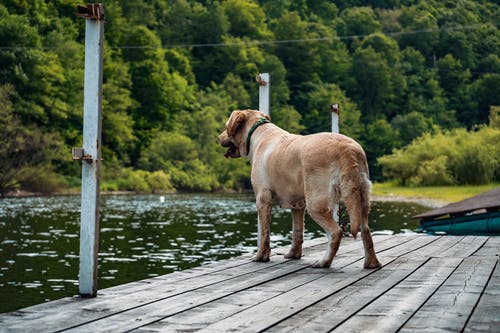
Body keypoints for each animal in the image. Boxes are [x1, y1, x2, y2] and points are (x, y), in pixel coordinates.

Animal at [218, 109, 378, 268]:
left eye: (226, 126)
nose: (219, 137)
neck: (257, 132)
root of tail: (348, 150)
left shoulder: (262, 198)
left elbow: (264, 233)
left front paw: (260, 256)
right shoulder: (297, 204)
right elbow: (297, 231)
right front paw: (293, 254)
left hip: (316, 203)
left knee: (336, 232)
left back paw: (324, 262)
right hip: (362, 196)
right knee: (366, 230)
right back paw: (372, 263)